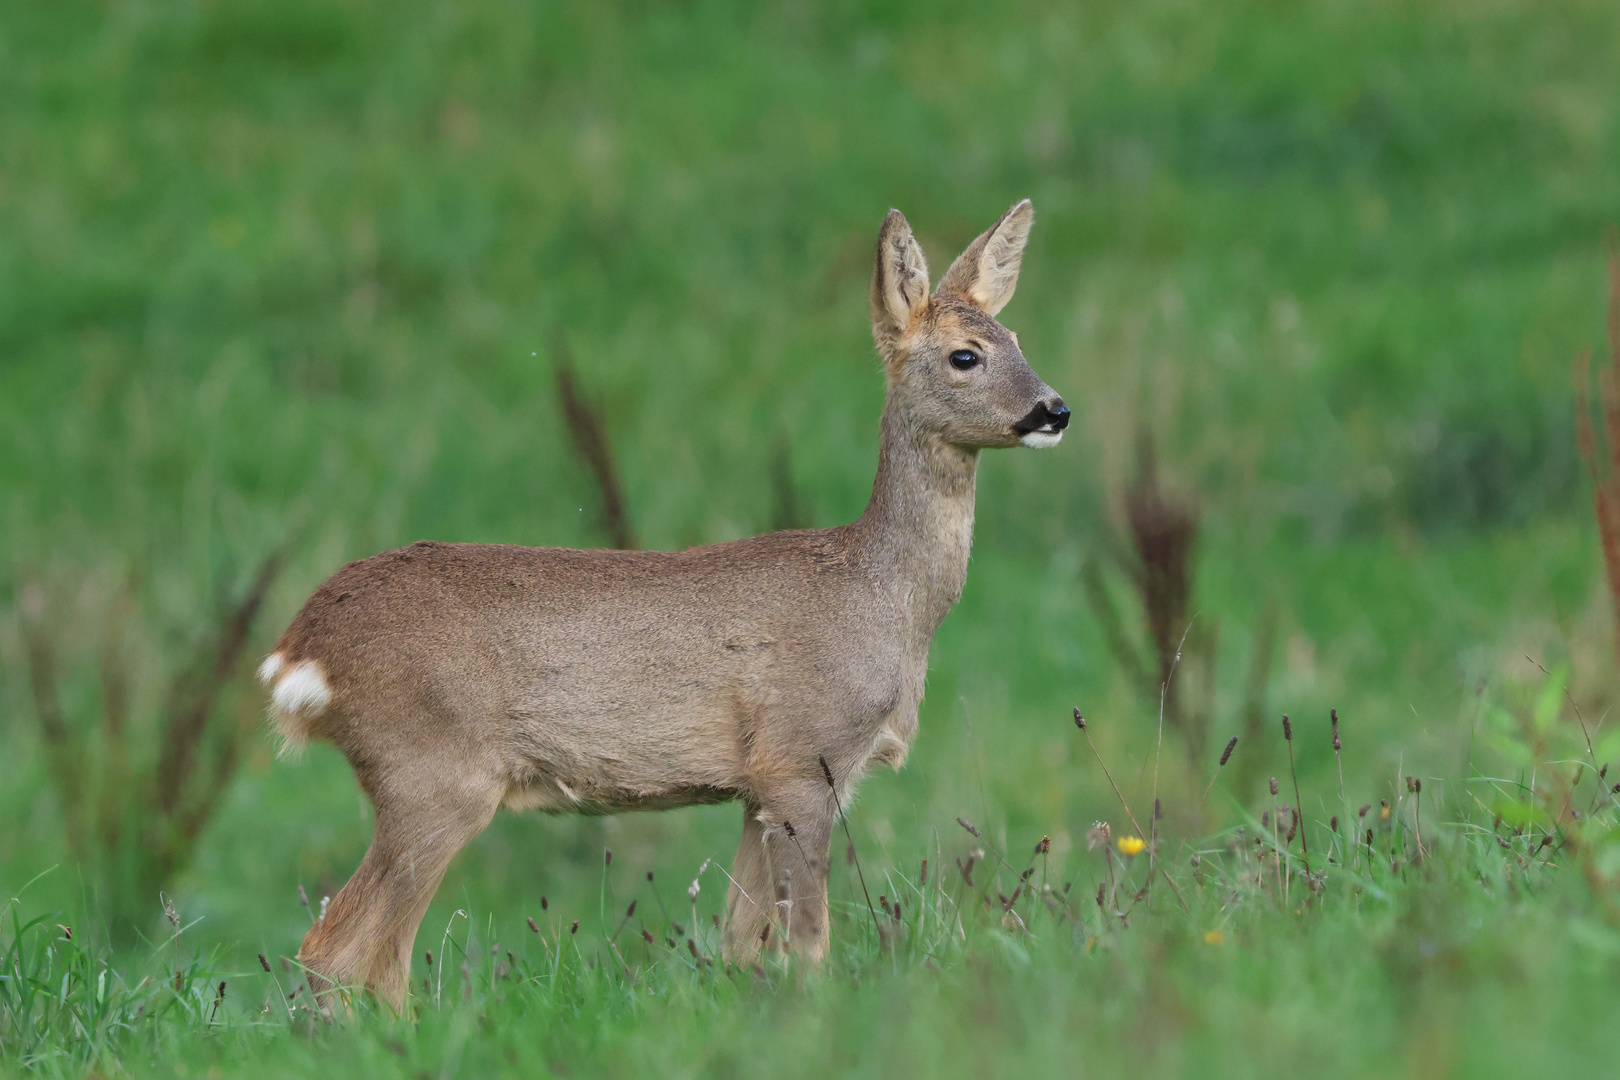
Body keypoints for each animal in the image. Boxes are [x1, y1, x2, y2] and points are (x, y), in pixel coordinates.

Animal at [259, 198, 1069, 1010]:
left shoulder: (755, 788)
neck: (883, 597)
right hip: (430, 772)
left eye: (1017, 339)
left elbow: (741, 943)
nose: (1054, 409)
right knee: (340, 950)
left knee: (372, 957)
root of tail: (301, 647)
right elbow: (808, 942)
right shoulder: (804, 757)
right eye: (966, 355)